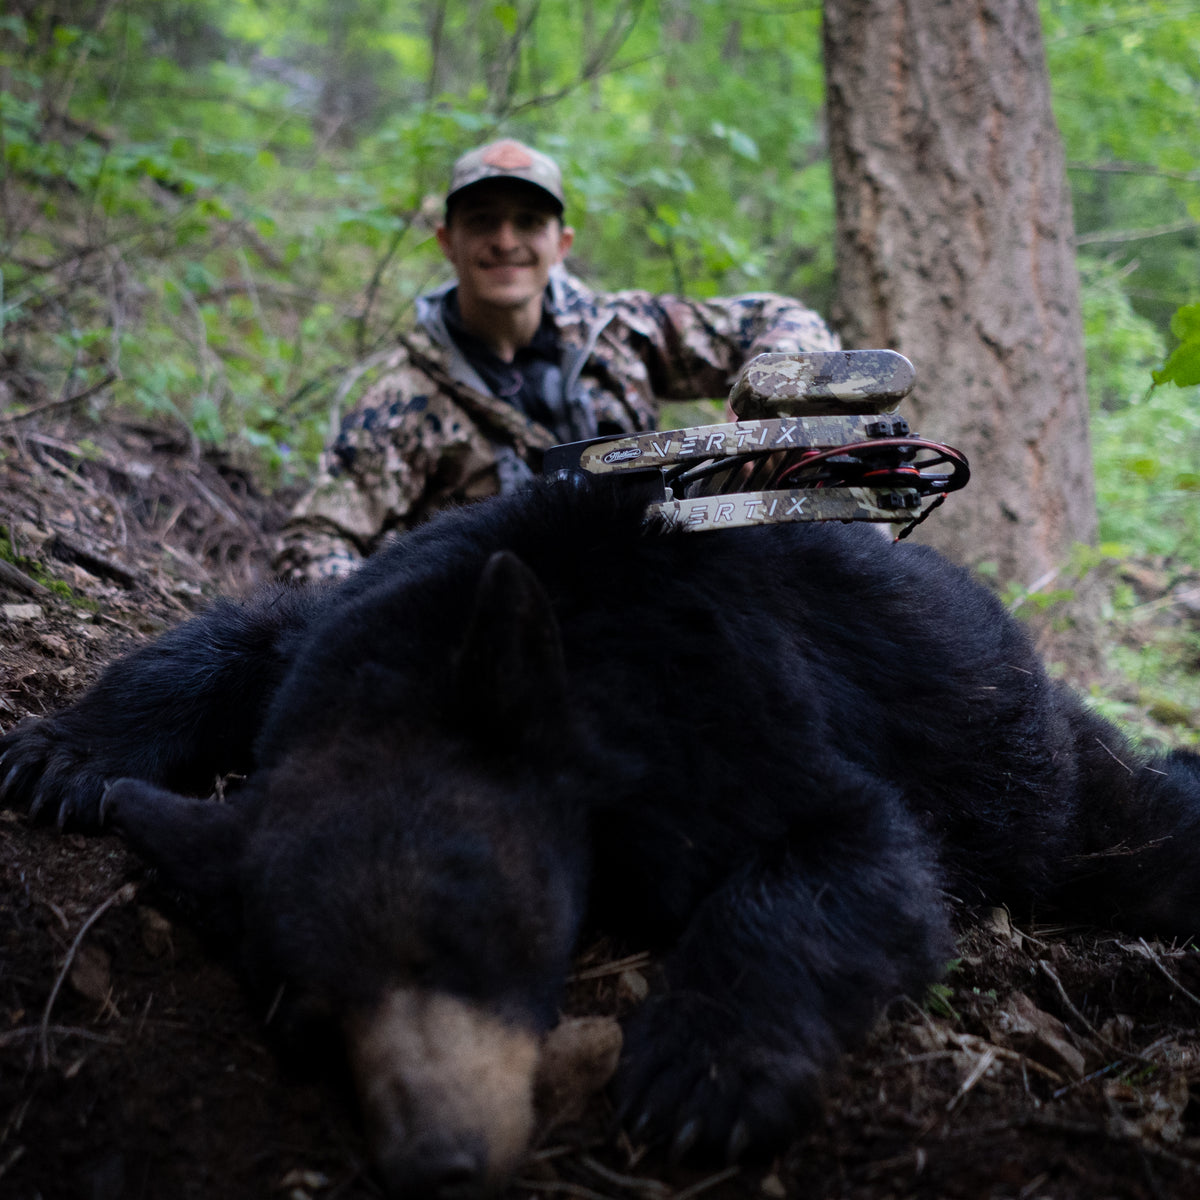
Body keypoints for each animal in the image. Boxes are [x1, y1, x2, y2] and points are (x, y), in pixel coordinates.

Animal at [2, 476, 1200, 1198]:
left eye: (473, 940)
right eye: (304, 1015)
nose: (439, 1160)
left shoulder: (711, 702)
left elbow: (853, 850)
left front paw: (702, 1077)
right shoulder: (348, 635)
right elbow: (242, 633)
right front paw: (63, 754)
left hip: (1046, 778)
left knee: (1140, 833)